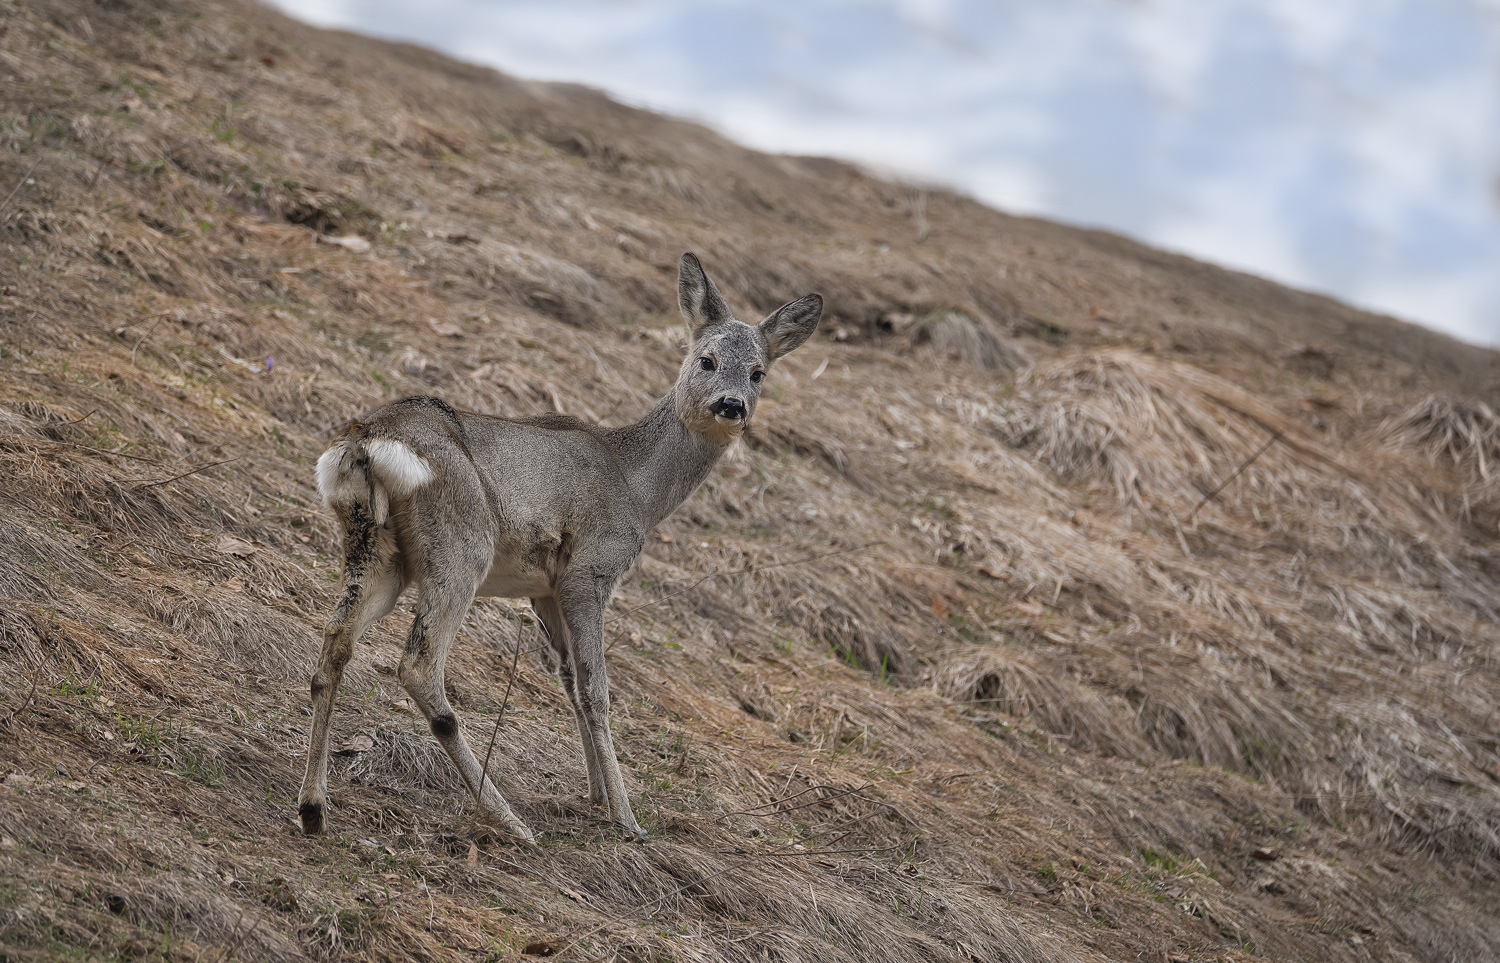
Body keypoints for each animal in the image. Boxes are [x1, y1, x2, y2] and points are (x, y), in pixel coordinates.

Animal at [297, 253, 822, 842]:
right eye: (706, 360)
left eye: (758, 372)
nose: (732, 405)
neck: (638, 487)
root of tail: (365, 442)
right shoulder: (590, 571)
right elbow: (597, 689)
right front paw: (626, 818)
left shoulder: (545, 588)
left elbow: (570, 681)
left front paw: (595, 795)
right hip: (462, 545)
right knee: (418, 665)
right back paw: (508, 818)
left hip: (376, 551)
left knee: (335, 640)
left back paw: (313, 807)